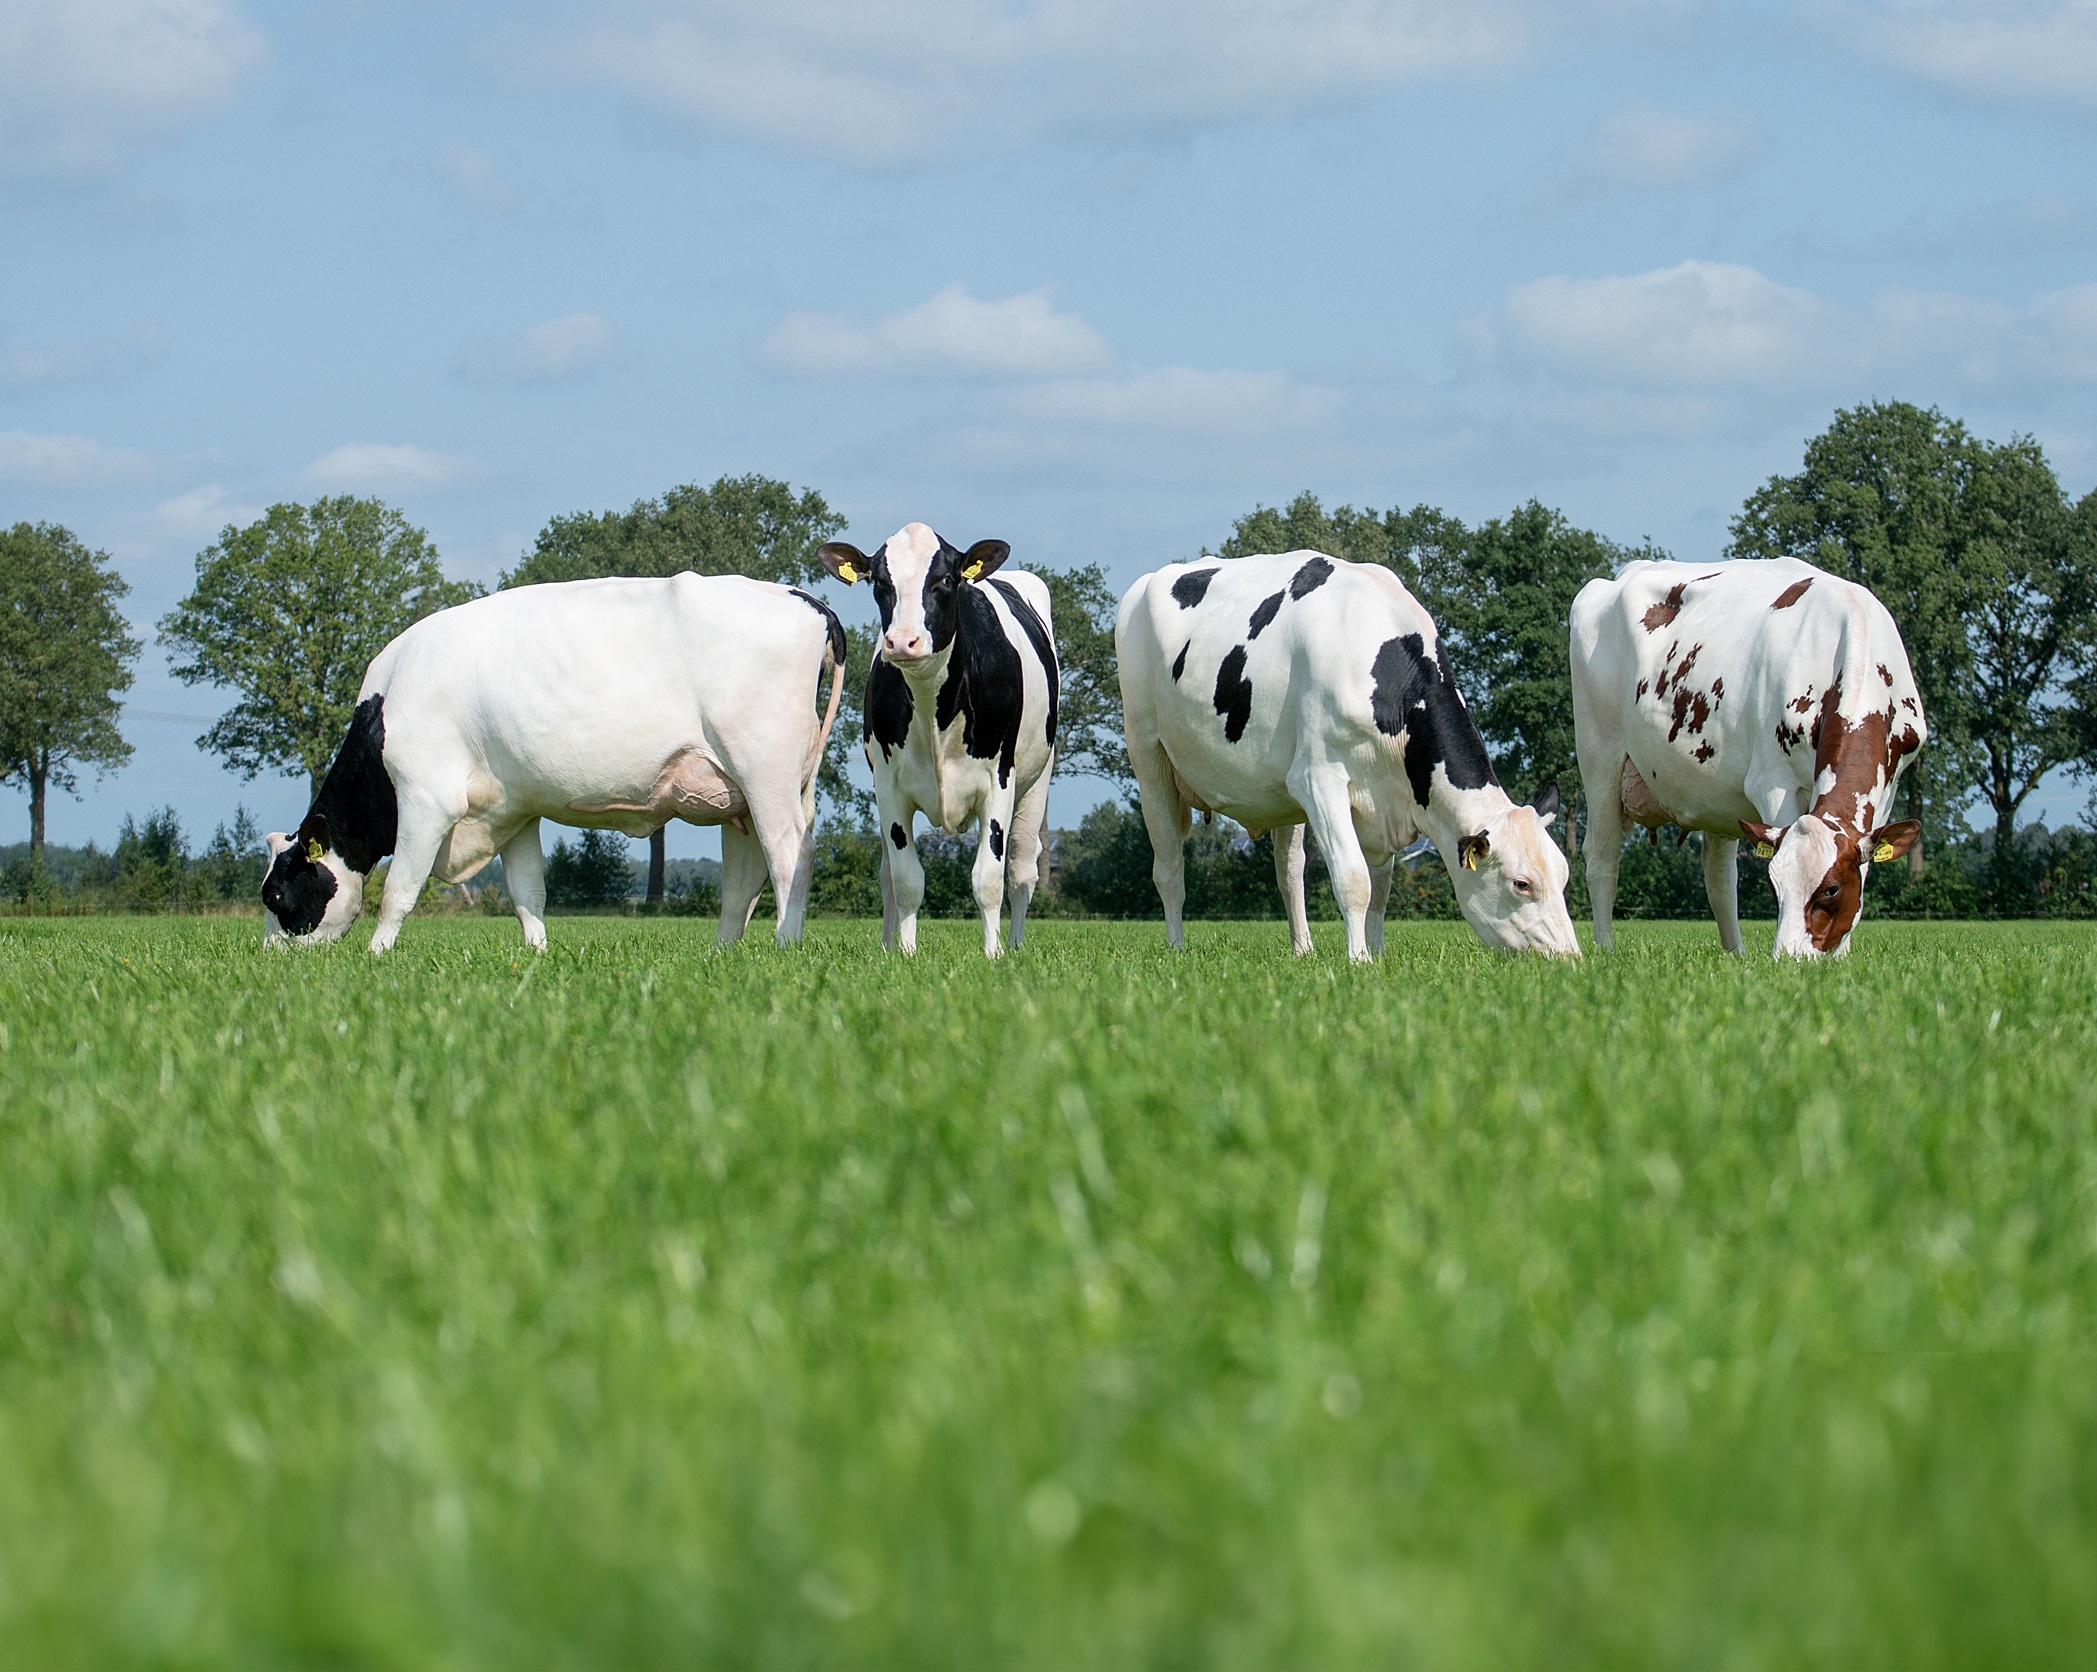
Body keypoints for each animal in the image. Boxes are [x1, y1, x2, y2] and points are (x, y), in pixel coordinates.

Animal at [813, 522, 1056, 965]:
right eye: (879, 582)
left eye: (945, 579)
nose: (901, 641)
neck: (933, 707)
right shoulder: (888, 788)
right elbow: (906, 878)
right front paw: (906, 952)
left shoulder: (999, 780)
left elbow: (988, 878)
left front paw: (993, 953)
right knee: (887, 876)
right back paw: (887, 943)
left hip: (1037, 782)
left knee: (1021, 870)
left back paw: (1014, 943)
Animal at [1115, 549, 1576, 960]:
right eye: (1521, 884)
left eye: (1564, 876)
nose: (1570, 957)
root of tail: (1151, 579)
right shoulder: (1320, 779)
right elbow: (1354, 880)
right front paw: (1359, 960)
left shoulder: (1380, 801)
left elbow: (1380, 889)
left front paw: (1378, 953)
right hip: (1148, 756)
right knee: (1169, 868)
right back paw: (1176, 948)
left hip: (1280, 790)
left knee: (1289, 872)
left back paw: (1303, 949)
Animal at [1568, 553, 1920, 960]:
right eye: (1773, 883)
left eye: (1831, 889)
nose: (1789, 958)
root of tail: (1623, 573)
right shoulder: (1774, 783)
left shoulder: (1888, 787)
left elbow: (1862, 871)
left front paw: (1842, 957)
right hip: (1599, 757)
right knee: (1602, 856)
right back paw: (1606, 948)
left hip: (1715, 792)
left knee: (1719, 874)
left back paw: (1737, 954)